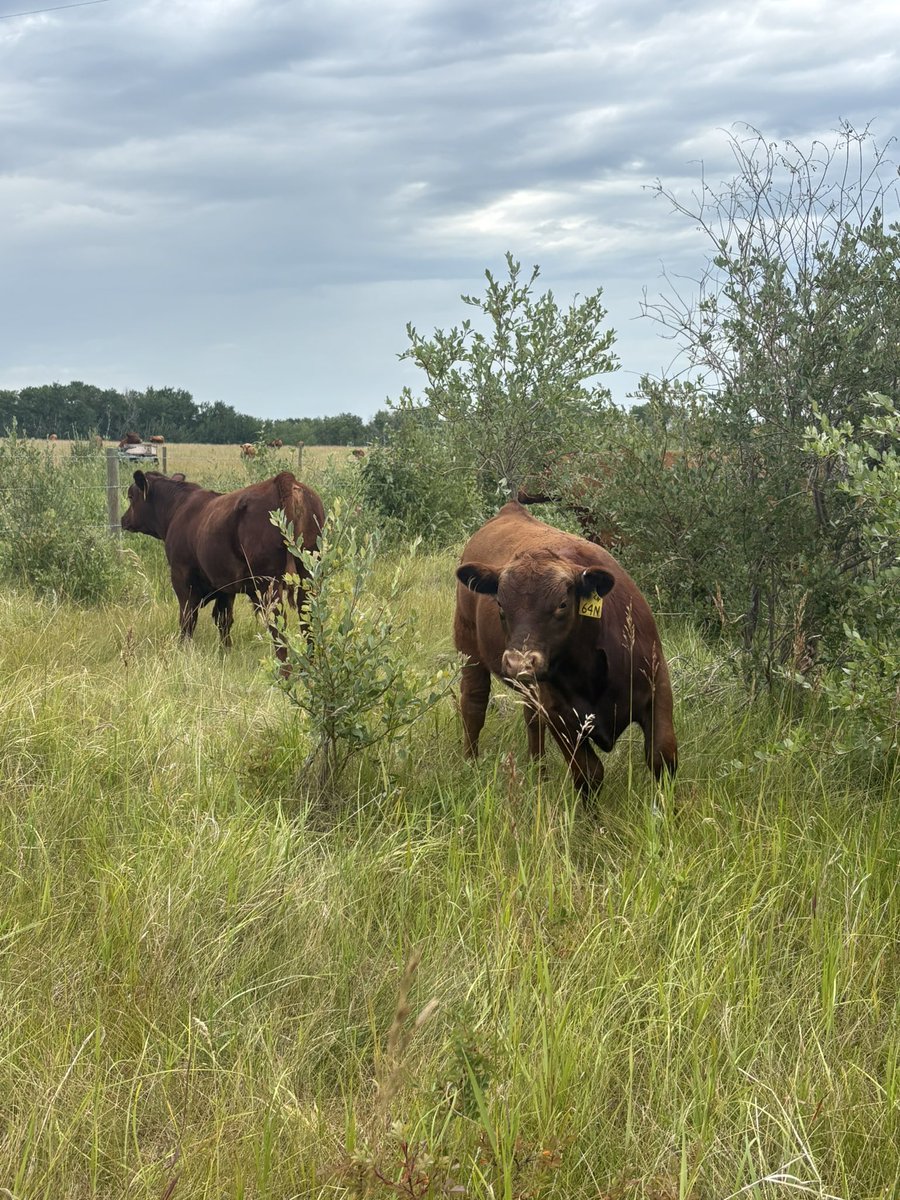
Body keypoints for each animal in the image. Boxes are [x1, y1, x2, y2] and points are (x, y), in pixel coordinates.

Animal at [120, 470, 325, 658]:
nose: (123, 519)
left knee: (278, 626)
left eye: (130, 496)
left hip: (269, 583)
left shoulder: (181, 578)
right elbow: (224, 619)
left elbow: (187, 619)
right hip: (308, 576)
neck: (177, 508)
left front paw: (183, 651)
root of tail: (283, 480)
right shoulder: (225, 585)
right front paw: (226, 652)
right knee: (307, 617)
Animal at [454, 501, 677, 794]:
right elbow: (589, 773)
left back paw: (539, 774)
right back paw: (470, 764)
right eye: (500, 603)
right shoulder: (558, 714)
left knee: (531, 719)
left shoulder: (657, 684)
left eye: (562, 603)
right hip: (468, 647)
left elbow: (662, 757)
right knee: (474, 704)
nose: (519, 662)